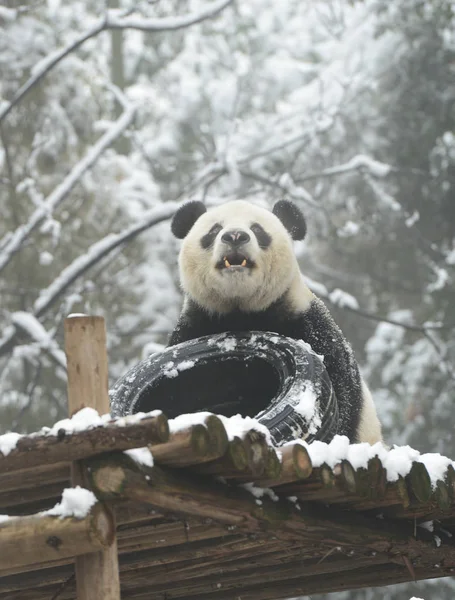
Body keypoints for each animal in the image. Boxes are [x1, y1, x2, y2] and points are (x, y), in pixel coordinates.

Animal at [169, 199, 382, 442]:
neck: (240, 310)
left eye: (257, 229)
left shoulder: (309, 325)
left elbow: (341, 394)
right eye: (214, 230)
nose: (235, 236)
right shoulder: (196, 325)